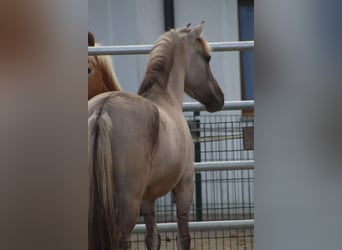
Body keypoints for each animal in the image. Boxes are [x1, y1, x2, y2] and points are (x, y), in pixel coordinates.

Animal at [88, 22, 224, 250]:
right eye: (207, 57)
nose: (219, 99)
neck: (166, 98)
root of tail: (102, 110)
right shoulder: (185, 185)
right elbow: (183, 237)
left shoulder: (148, 198)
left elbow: (152, 239)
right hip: (128, 200)